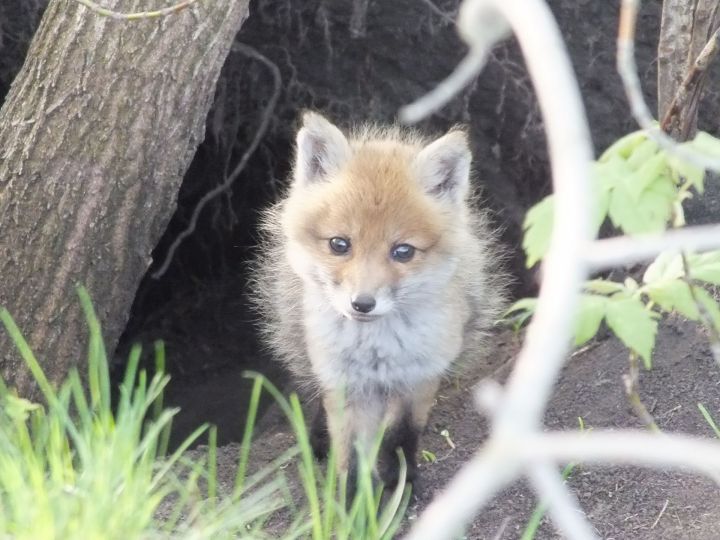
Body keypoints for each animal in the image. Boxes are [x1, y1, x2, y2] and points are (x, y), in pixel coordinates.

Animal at [253, 109, 506, 490]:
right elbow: (350, 450)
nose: (362, 304)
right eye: (339, 244)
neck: (375, 350)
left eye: (403, 251)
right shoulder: (345, 382)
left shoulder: (418, 378)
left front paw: (401, 484)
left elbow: (400, 436)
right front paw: (350, 497)